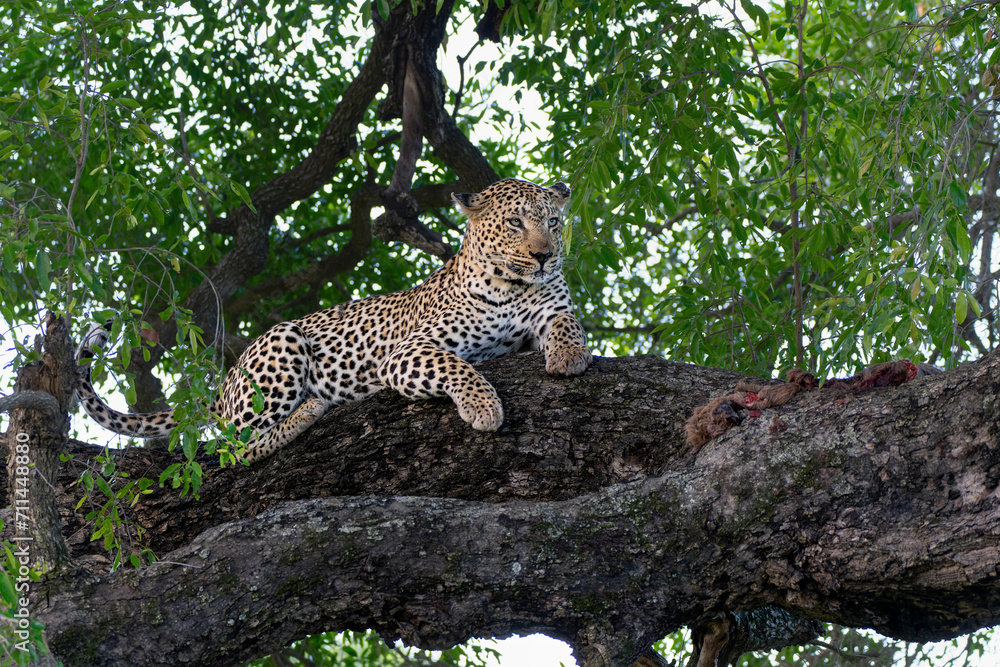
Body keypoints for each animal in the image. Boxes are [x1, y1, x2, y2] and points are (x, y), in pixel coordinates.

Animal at [76, 178, 593, 462]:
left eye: (552, 222)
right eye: (514, 223)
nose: (545, 256)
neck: (511, 286)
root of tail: (223, 386)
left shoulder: (548, 311)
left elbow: (567, 323)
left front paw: (570, 356)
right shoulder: (407, 353)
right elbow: (459, 366)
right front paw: (484, 407)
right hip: (281, 345)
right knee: (231, 450)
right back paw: (305, 413)